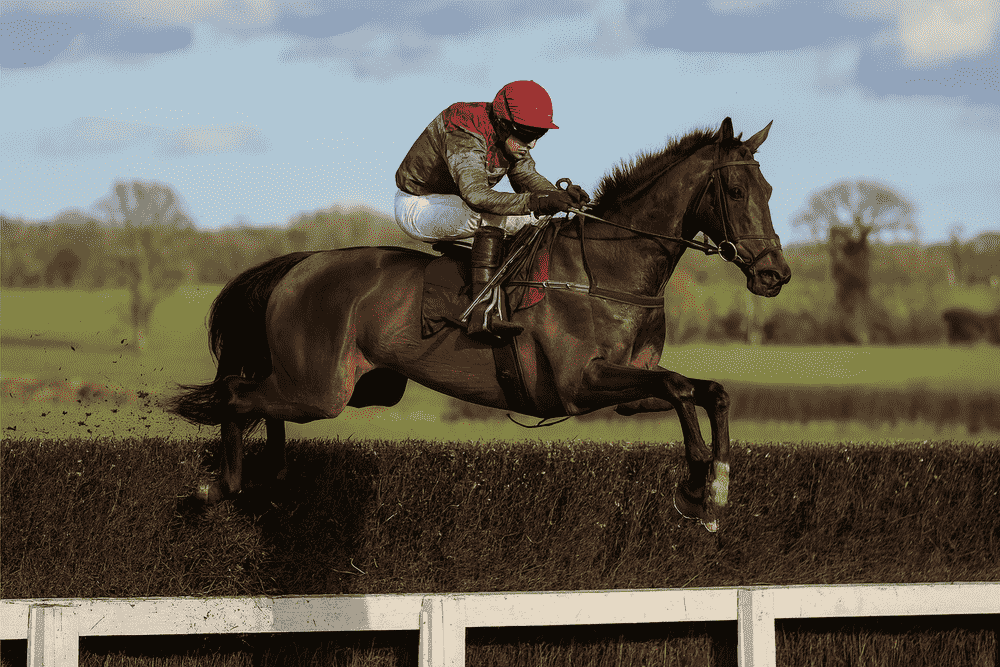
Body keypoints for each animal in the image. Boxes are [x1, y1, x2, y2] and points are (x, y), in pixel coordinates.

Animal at [169, 117, 791, 533]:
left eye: (768, 189)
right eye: (736, 189)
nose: (774, 273)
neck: (604, 271)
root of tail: (299, 264)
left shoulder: (629, 390)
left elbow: (708, 391)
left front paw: (716, 486)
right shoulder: (578, 383)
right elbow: (681, 388)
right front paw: (696, 486)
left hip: (353, 388)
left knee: (256, 401)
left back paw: (267, 475)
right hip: (320, 388)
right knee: (236, 394)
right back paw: (215, 485)